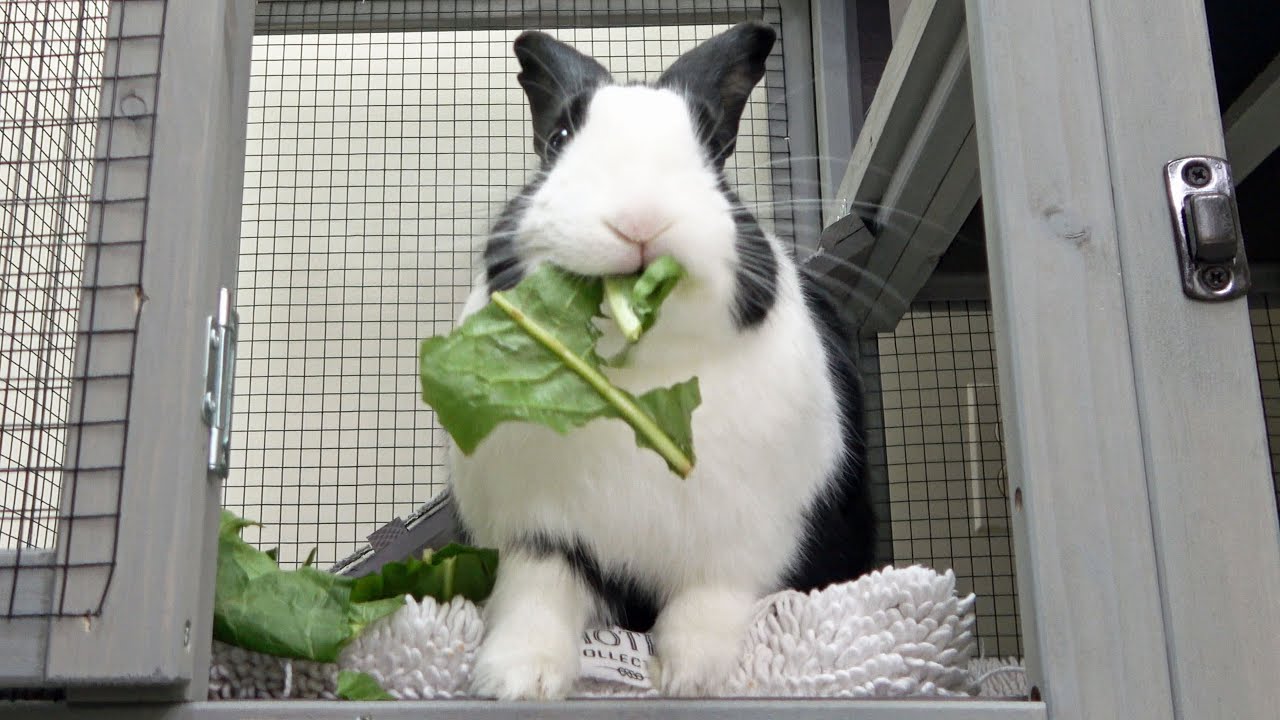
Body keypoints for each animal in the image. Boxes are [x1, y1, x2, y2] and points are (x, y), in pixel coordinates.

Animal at [447, 21, 877, 700]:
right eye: (559, 139)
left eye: (714, 148)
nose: (639, 218)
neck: (639, 380)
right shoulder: (538, 535)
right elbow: (535, 596)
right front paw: (516, 680)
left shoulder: (745, 546)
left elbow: (708, 606)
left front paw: (686, 678)